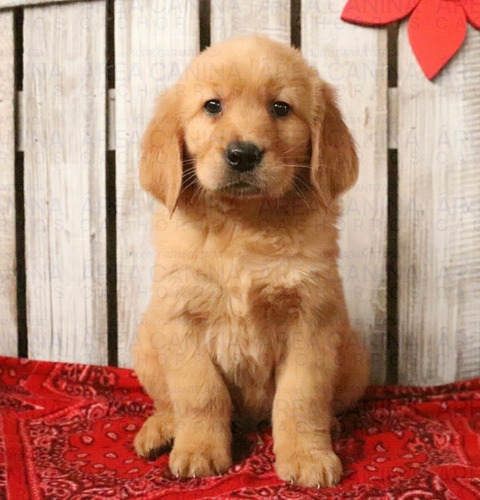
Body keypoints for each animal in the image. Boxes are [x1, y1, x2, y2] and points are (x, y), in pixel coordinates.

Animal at [133, 35, 370, 488]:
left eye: (280, 107)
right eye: (212, 106)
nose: (242, 154)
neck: (243, 225)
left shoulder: (311, 319)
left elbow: (300, 397)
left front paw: (307, 456)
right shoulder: (180, 316)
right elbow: (200, 393)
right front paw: (199, 450)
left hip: (353, 356)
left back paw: (330, 426)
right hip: (147, 344)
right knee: (167, 401)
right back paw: (162, 429)